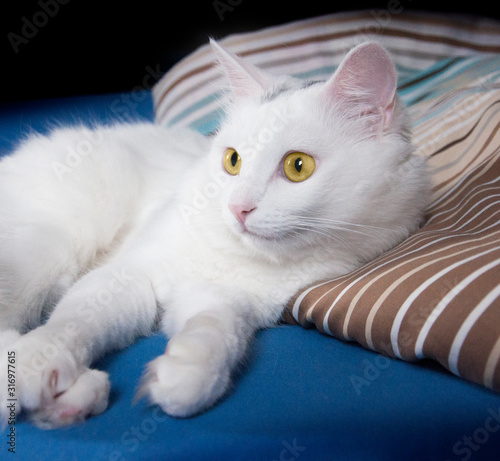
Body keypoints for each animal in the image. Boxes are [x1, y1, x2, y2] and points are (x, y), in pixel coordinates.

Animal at [0, 40, 430, 428]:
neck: (240, 254)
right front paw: (40, 364)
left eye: (298, 166)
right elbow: (74, 321)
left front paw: (183, 377)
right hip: (47, 251)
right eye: (233, 161)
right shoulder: (129, 274)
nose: (238, 208)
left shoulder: (226, 299)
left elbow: (216, 334)